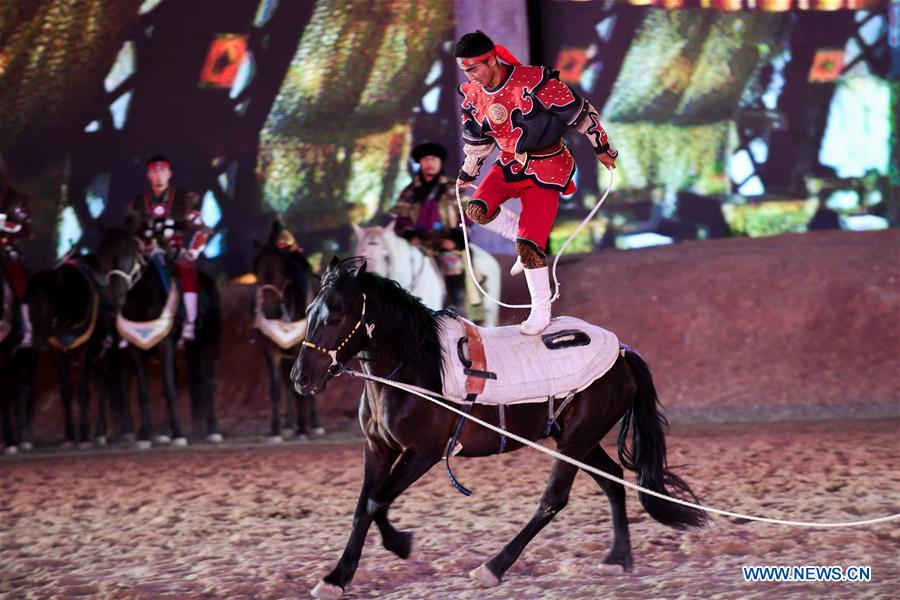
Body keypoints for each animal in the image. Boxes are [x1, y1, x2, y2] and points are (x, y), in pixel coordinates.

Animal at [95, 227, 223, 448]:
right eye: (102, 254)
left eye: (129, 253)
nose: (114, 298)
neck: (141, 301)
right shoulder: (136, 350)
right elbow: (143, 394)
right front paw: (145, 436)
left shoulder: (165, 346)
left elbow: (169, 390)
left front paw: (179, 433)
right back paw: (165, 432)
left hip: (209, 342)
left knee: (210, 381)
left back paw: (212, 429)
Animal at [253, 243, 324, 440]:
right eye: (257, 271)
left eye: (282, 270)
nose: (268, 310)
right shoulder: (271, 351)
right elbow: (276, 388)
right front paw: (276, 429)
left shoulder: (300, 350)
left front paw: (302, 429)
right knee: (287, 384)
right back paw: (288, 424)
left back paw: (314, 424)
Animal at [292, 256, 708, 596]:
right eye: (309, 310)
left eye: (336, 313)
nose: (300, 377)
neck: (415, 368)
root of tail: (622, 351)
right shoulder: (378, 449)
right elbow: (364, 506)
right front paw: (337, 576)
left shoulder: (423, 453)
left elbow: (377, 500)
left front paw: (396, 546)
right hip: (580, 439)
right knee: (613, 480)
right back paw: (618, 557)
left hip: (577, 439)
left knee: (554, 499)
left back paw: (494, 566)